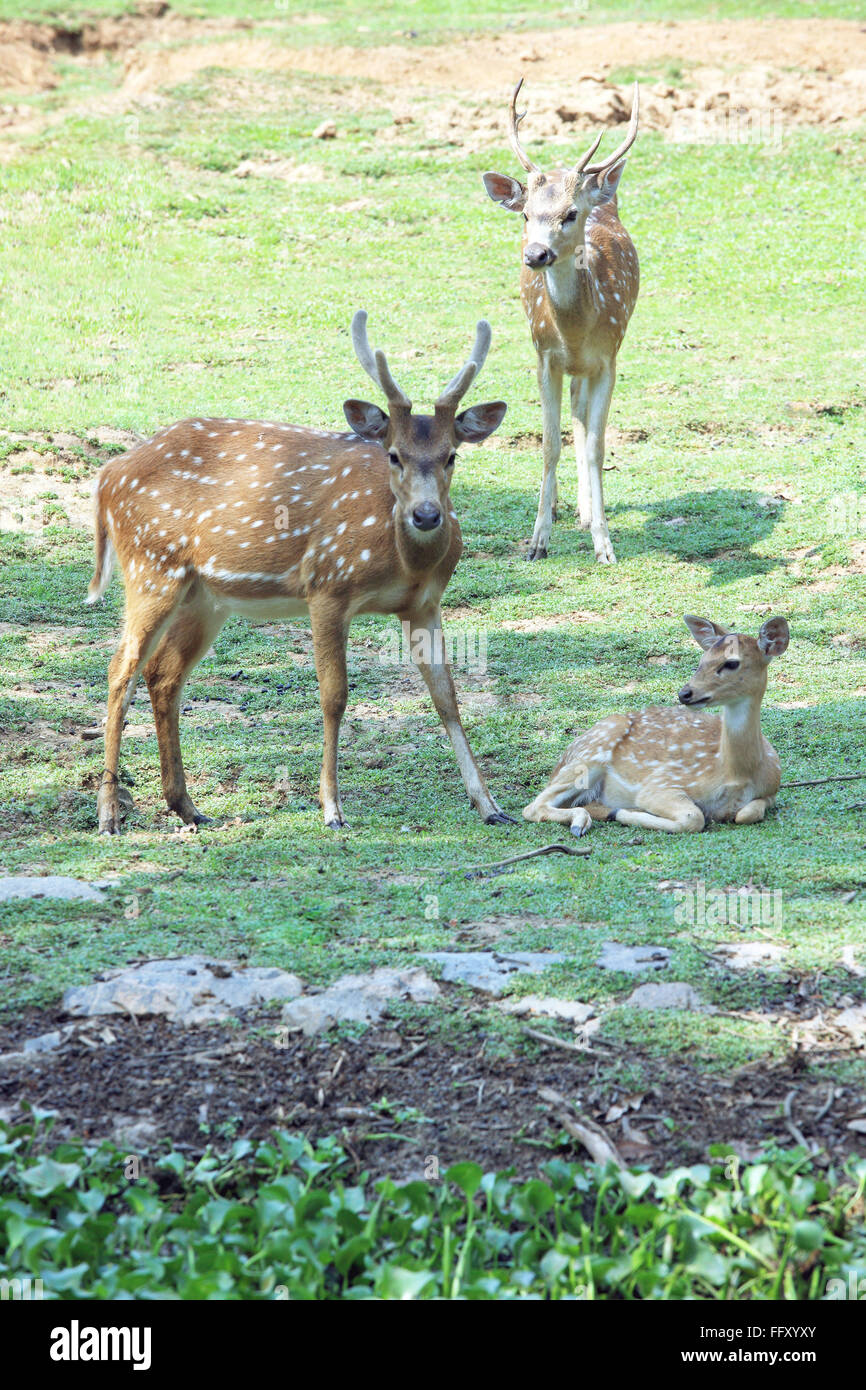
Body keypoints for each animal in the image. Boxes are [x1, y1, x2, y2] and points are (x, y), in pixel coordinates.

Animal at [86, 314, 514, 828]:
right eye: (394, 454)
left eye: (452, 454)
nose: (427, 515)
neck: (402, 564)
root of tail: (108, 475)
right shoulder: (327, 586)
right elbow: (334, 696)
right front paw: (331, 808)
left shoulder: (425, 604)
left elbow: (447, 697)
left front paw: (490, 804)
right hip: (151, 567)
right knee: (119, 671)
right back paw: (109, 812)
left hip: (202, 597)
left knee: (163, 674)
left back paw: (186, 806)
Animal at [483, 76, 639, 561]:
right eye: (526, 214)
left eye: (571, 214)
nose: (536, 254)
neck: (574, 332)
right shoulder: (544, 357)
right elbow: (550, 444)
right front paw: (537, 541)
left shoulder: (609, 359)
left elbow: (596, 446)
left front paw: (604, 545)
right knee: (573, 413)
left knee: (582, 417)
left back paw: (587, 513)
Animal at [522, 619, 795, 834]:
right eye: (702, 659)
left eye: (731, 663)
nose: (685, 693)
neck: (737, 773)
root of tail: (559, 762)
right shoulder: (660, 784)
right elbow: (694, 817)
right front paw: (622, 813)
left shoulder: (773, 789)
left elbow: (747, 813)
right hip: (592, 752)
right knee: (532, 806)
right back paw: (585, 820)